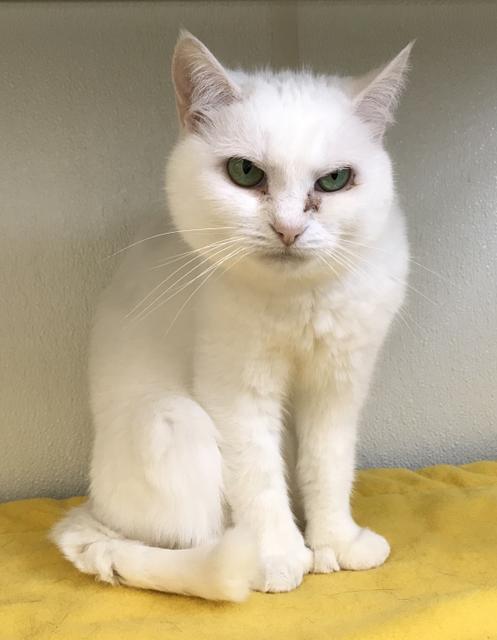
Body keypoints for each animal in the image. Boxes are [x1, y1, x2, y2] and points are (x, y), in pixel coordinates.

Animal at [52, 31, 412, 600]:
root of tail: (91, 512)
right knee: (188, 537)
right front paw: (279, 558)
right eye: (245, 172)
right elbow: (258, 481)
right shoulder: (237, 391)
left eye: (334, 180)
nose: (288, 229)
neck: (297, 300)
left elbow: (330, 467)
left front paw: (337, 544)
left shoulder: (337, 386)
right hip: (175, 423)